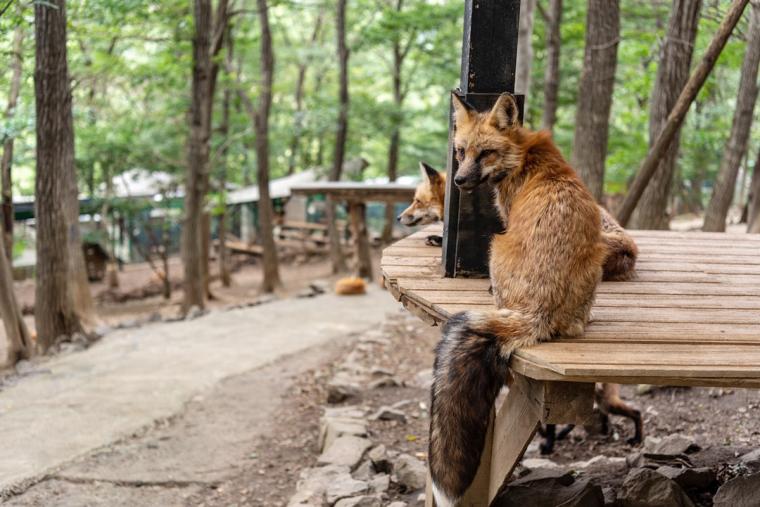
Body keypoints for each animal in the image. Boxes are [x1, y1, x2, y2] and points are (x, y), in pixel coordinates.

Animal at [428, 93, 628, 506]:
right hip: (596, 264)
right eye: (461, 151)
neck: (526, 158)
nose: (458, 180)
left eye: (486, 153)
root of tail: (535, 311)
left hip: (496, 245)